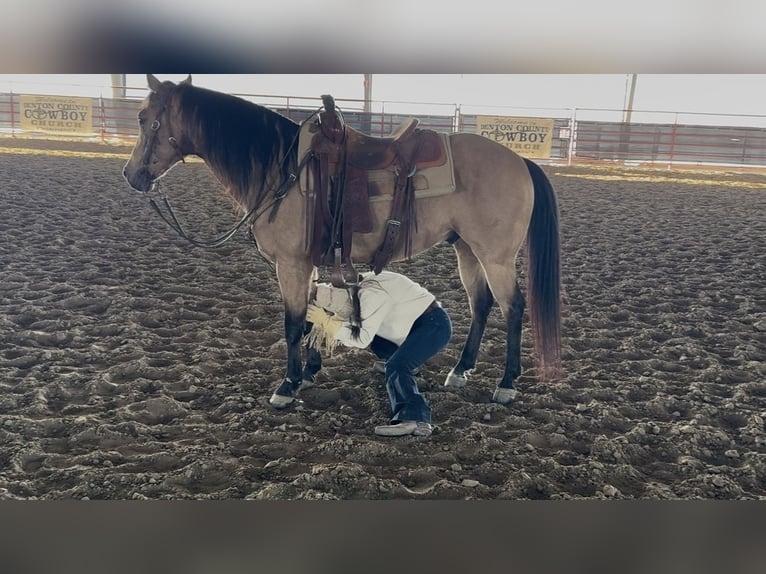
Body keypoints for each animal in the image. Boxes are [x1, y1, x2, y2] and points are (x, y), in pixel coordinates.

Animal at [122, 74, 562, 409]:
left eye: (144, 118)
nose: (131, 175)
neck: (282, 168)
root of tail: (520, 160)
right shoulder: (308, 264)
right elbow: (311, 314)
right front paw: (309, 372)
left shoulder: (291, 264)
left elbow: (293, 322)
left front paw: (287, 386)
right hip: (467, 249)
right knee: (481, 304)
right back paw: (460, 370)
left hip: (496, 255)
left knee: (513, 307)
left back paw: (506, 384)